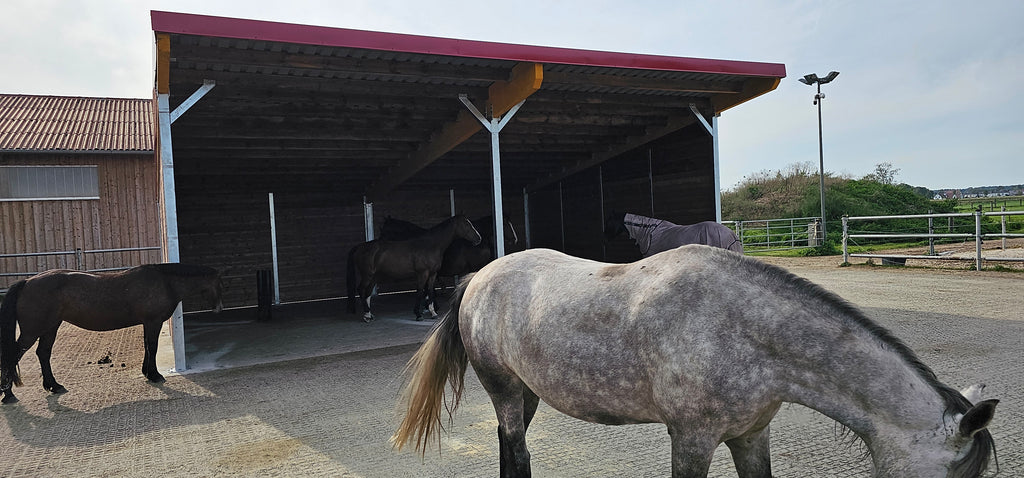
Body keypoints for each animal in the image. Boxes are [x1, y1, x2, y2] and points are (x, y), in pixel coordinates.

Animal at [0, 263, 223, 404]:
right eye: (219, 284)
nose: (219, 309)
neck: (164, 282)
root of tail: (27, 282)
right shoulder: (153, 322)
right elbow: (152, 346)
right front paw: (155, 375)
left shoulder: (148, 323)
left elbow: (147, 346)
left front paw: (147, 373)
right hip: (32, 331)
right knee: (13, 355)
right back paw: (8, 394)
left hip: (50, 327)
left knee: (43, 353)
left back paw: (54, 386)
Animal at [346, 215, 481, 322]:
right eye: (466, 225)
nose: (478, 238)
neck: (430, 245)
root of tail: (360, 246)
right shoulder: (423, 274)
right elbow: (420, 291)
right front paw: (418, 314)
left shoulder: (433, 274)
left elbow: (430, 291)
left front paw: (433, 312)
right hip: (367, 275)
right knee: (361, 290)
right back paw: (366, 316)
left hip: (374, 276)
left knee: (368, 292)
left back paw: (369, 314)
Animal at [393, 246, 997, 478]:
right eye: (955, 473)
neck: (745, 331)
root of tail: (479, 277)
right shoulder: (691, 438)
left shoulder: (751, 435)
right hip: (502, 386)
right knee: (515, 448)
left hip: (527, 391)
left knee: (506, 442)